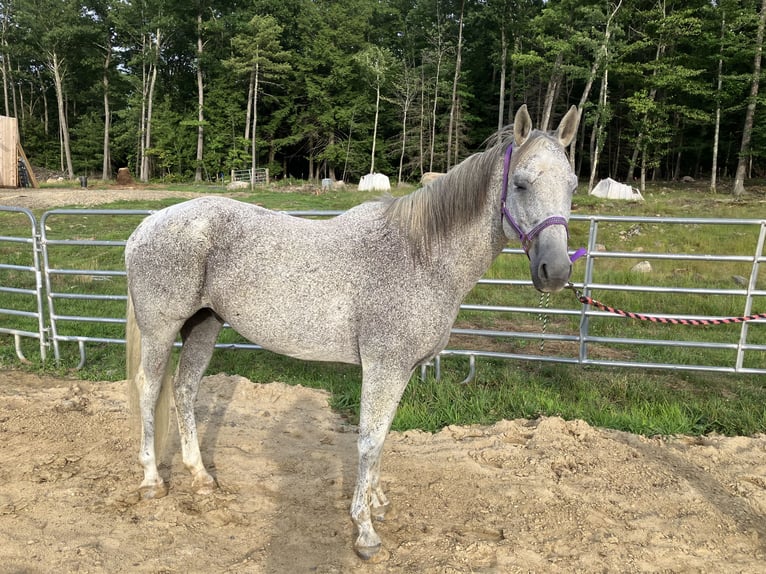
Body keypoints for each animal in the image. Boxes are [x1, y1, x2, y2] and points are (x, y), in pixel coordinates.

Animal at [126, 104, 584, 564]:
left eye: (572, 185)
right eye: (521, 183)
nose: (556, 271)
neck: (419, 255)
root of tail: (147, 224)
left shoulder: (399, 371)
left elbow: (382, 438)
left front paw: (377, 503)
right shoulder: (385, 366)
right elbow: (369, 440)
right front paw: (364, 530)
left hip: (204, 324)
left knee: (184, 390)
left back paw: (201, 477)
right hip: (162, 329)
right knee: (149, 388)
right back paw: (151, 481)